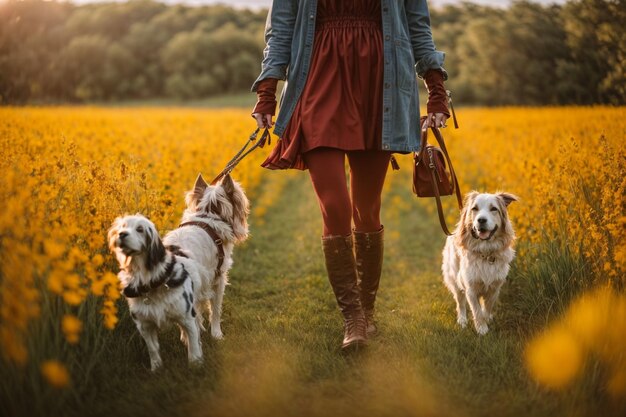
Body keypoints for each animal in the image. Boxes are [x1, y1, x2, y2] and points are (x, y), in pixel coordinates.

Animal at [109, 174, 249, 368]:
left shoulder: (199, 287)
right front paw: (216, 334)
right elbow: (215, 310)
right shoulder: (217, 279)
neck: (208, 217)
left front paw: (198, 330)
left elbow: (198, 313)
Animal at [438, 192, 516, 334]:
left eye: (493, 209)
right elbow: (477, 311)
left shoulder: (494, 288)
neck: (486, 253)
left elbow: (487, 307)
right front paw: (482, 330)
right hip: (455, 279)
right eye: (475, 209)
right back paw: (462, 321)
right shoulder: (470, 289)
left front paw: (487, 319)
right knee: (460, 302)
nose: (481, 220)